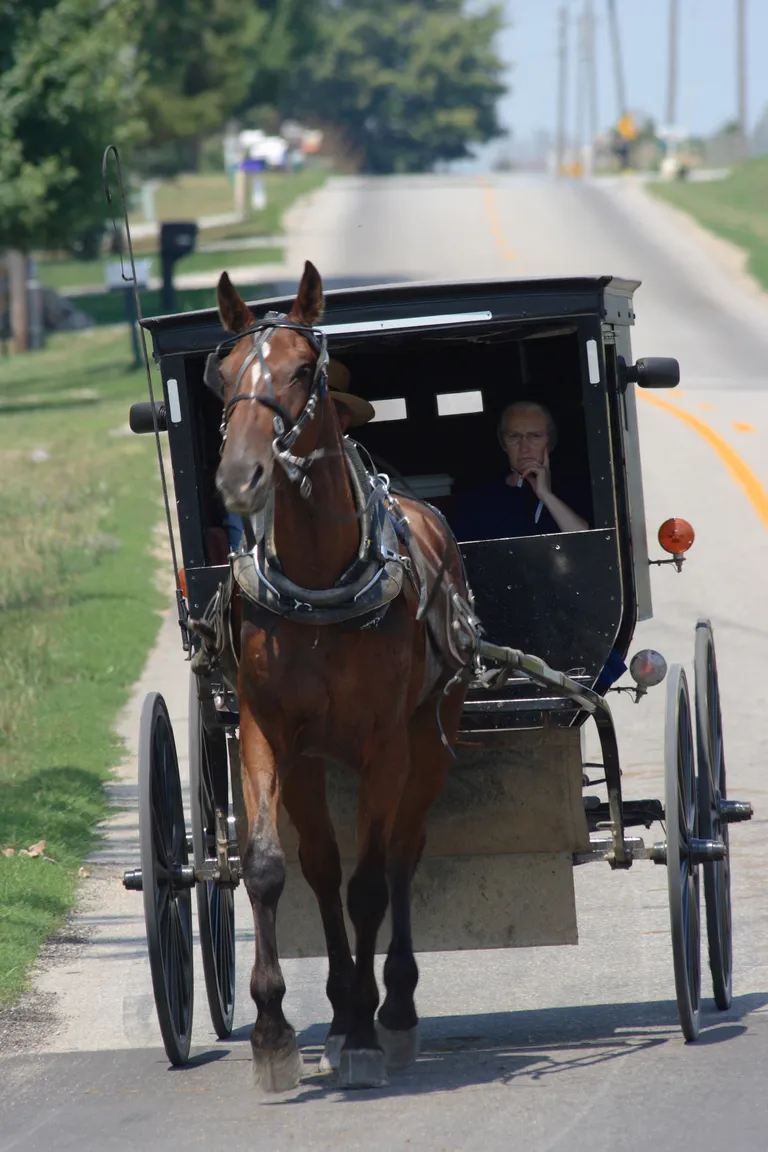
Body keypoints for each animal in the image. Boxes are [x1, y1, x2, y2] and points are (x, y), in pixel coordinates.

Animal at [207, 263, 476, 1087]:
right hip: (309, 763)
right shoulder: (266, 734)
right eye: (223, 374)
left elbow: (370, 883)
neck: (321, 583)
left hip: (431, 736)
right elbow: (271, 868)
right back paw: (338, 1006)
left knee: (400, 857)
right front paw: (274, 1028)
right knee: (322, 866)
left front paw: (363, 1029)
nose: (241, 476)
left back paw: (393, 1007)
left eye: (302, 370)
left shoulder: (385, 745)